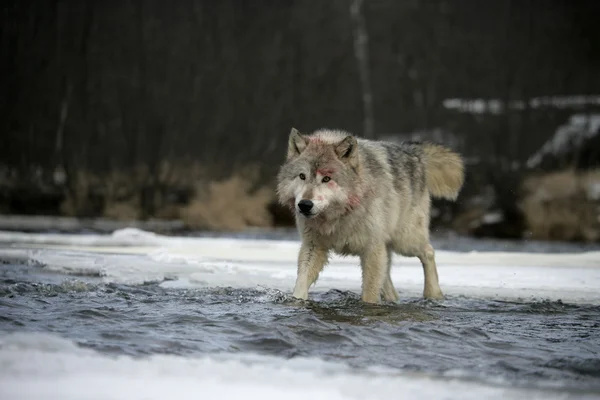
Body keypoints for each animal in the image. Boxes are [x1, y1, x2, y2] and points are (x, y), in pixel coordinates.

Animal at [276, 128, 464, 304]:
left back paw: (433, 294)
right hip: (387, 249)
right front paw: (296, 301)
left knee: (429, 252)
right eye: (302, 176)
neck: (339, 216)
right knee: (389, 281)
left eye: (327, 178)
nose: (305, 205)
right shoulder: (313, 246)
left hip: (405, 241)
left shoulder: (372, 248)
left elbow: (370, 293)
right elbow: (301, 281)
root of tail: (412, 151)